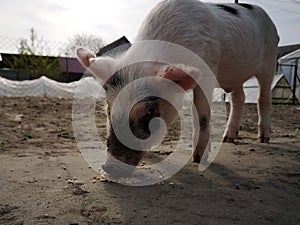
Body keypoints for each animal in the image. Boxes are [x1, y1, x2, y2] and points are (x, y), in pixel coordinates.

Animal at [77, 0, 278, 176]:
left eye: (150, 113)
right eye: (109, 110)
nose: (110, 167)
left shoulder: (207, 71)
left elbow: (201, 114)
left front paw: (198, 159)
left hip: (269, 61)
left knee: (263, 97)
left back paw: (263, 138)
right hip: (237, 76)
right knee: (239, 97)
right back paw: (228, 138)